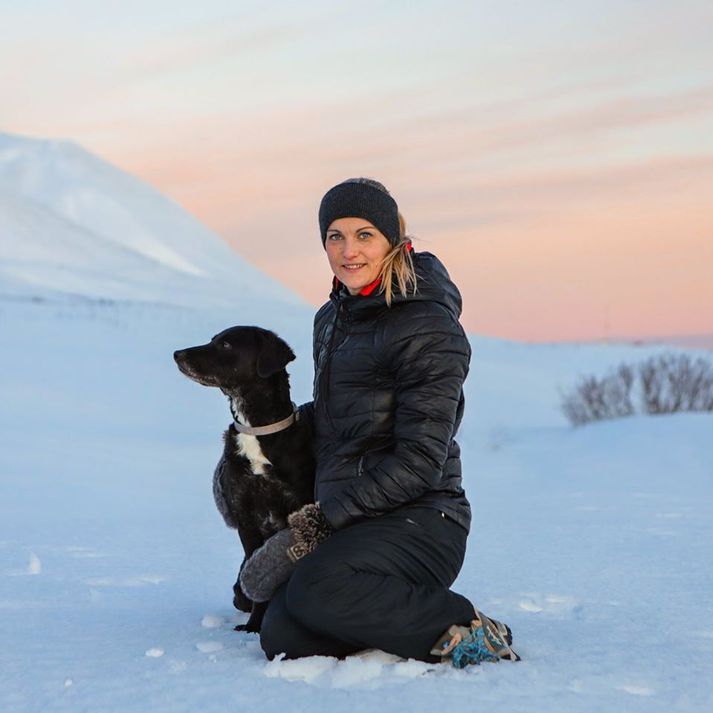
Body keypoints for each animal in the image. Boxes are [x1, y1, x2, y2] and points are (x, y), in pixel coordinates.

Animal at [172, 326, 312, 632]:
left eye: (225, 344)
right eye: (212, 339)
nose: (177, 353)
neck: (254, 430)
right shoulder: (245, 517)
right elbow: (256, 572)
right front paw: (253, 626)